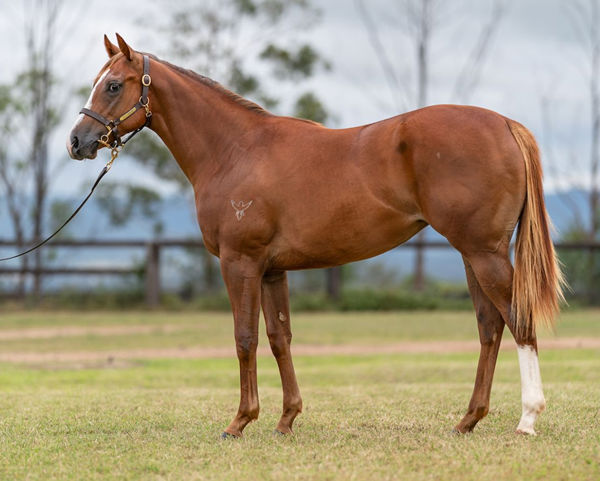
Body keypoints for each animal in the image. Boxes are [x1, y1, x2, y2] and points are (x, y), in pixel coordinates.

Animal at [68, 35, 564, 436]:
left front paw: (239, 422)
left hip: (484, 254)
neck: (235, 150)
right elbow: (279, 338)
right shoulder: (272, 270)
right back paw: (468, 420)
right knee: (489, 327)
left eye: (114, 85)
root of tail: (505, 124)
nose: (77, 141)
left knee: (517, 321)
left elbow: (244, 337)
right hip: (472, 255)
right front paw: (286, 419)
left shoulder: (240, 262)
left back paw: (527, 418)